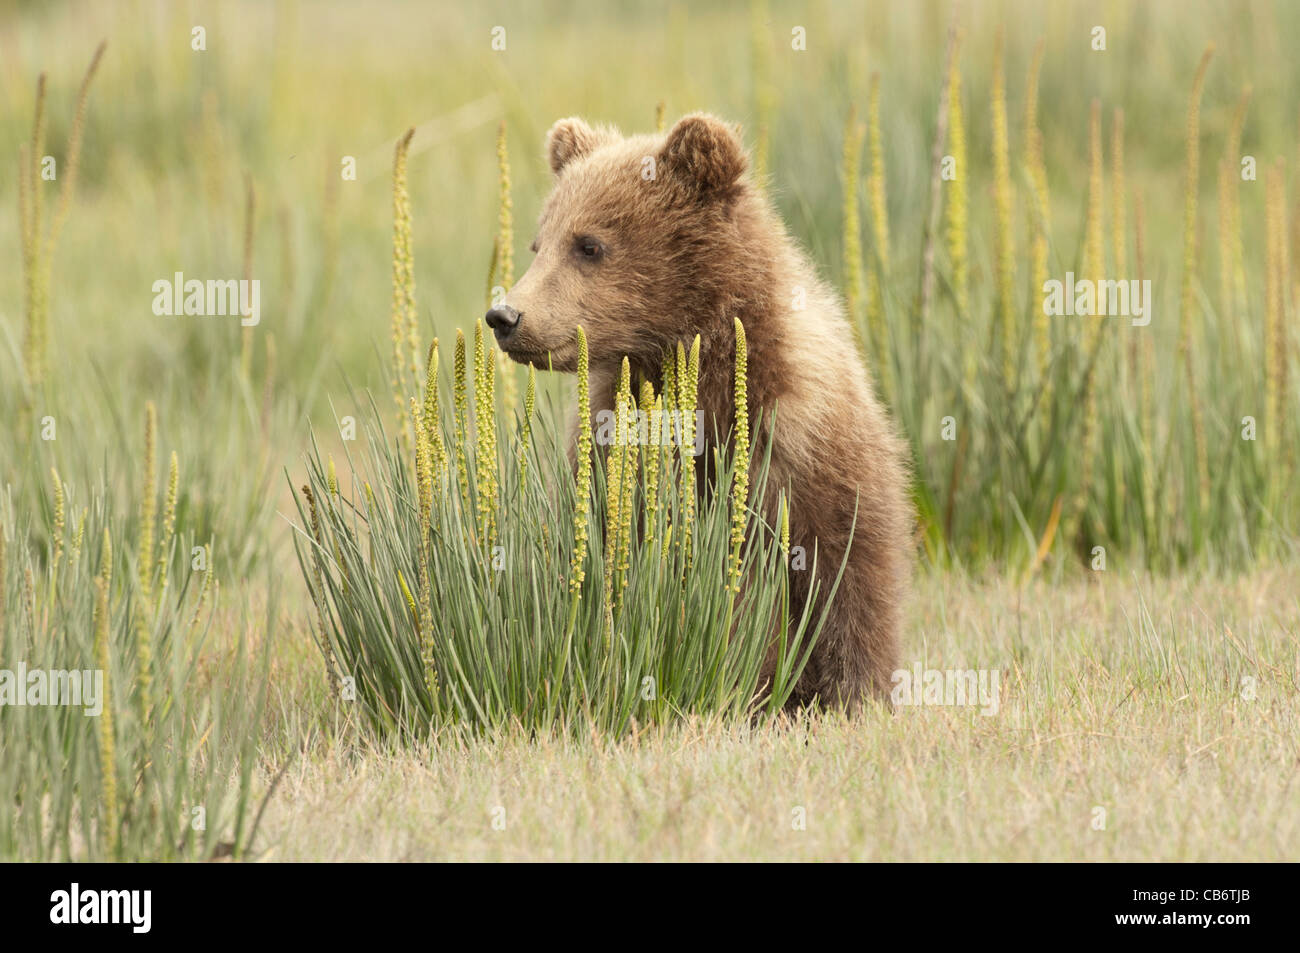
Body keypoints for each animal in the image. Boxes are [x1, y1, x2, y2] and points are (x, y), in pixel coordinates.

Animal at [485, 113, 912, 711]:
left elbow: (845, 578)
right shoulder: (614, 450)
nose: (506, 316)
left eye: (589, 244)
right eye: (538, 243)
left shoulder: (806, 451)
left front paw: (853, 694)